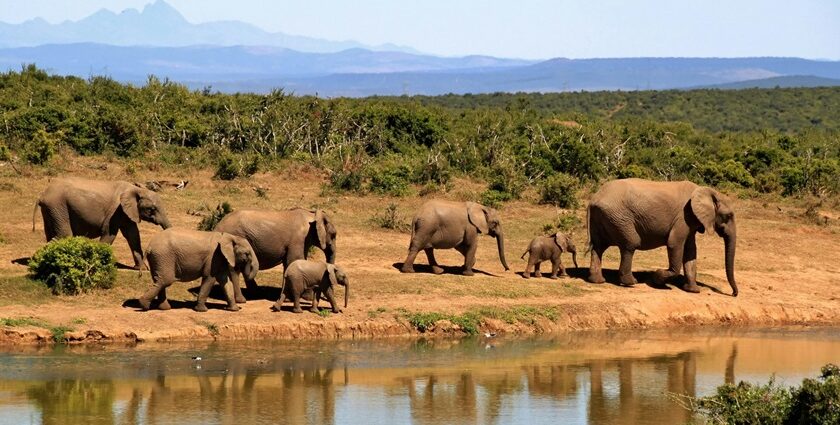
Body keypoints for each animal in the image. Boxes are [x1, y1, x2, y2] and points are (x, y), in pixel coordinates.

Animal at [33, 176, 171, 268]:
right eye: (152, 209)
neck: (136, 189)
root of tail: (42, 195)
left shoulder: (127, 212)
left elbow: (133, 235)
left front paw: (142, 269)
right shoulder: (116, 211)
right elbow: (110, 234)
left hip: (51, 209)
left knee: (52, 234)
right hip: (58, 206)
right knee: (64, 235)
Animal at [584, 178, 736, 294]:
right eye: (728, 216)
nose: (734, 294)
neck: (707, 191)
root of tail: (593, 199)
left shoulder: (691, 220)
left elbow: (691, 251)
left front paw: (693, 290)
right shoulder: (684, 217)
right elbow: (674, 244)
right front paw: (657, 279)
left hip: (604, 217)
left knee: (599, 247)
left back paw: (598, 281)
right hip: (619, 217)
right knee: (630, 244)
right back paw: (631, 282)